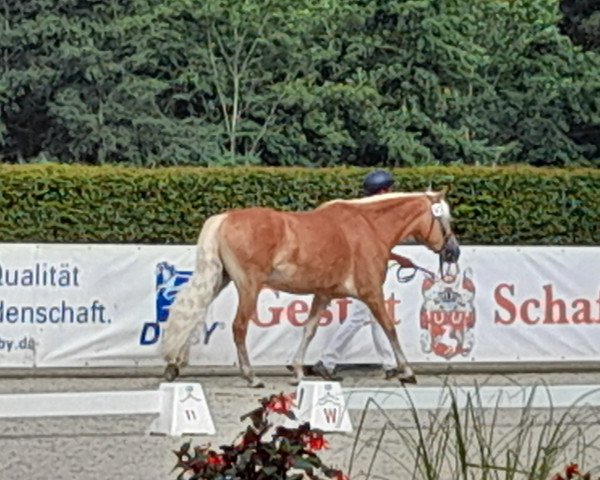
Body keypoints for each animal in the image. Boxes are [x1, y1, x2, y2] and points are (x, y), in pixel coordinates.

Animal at [159, 189, 460, 388]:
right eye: (444, 219)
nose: (453, 252)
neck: (369, 227)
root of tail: (225, 218)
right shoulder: (371, 292)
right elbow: (388, 327)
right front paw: (407, 371)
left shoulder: (323, 294)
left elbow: (309, 329)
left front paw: (298, 371)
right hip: (248, 287)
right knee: (239, 327)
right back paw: (251, 376)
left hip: (219, 280)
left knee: (194, 315)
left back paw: (174, 365)